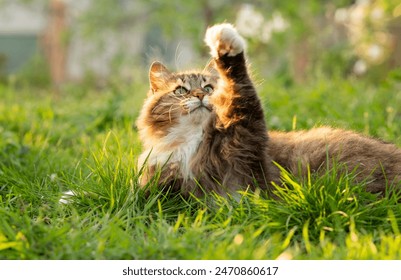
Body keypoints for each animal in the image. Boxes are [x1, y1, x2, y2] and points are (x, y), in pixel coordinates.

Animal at [135, 23, 400, 197]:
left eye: (208, 87)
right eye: (181, 91)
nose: (200, 95)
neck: (192, 141)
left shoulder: (247, 138)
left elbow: (241, 85)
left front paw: (224, 41)